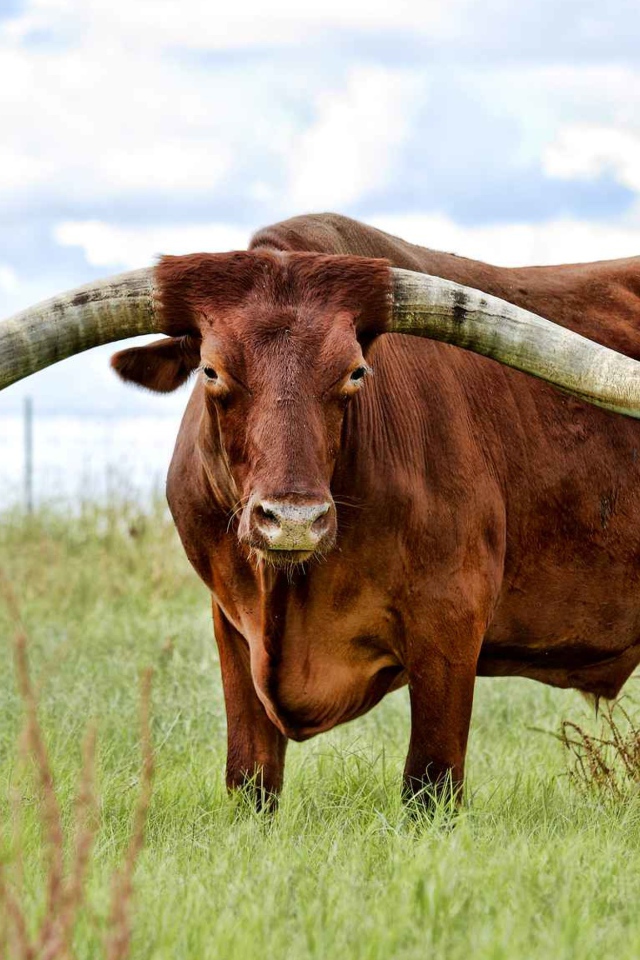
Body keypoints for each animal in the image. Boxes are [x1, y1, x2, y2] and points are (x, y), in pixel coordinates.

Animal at [3, 214, 640, 808]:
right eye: (211, 370)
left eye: (355, 372)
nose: (293, 520)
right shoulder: (232, 627)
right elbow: (251, 779)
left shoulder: (451, 623)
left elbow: (430, 784)